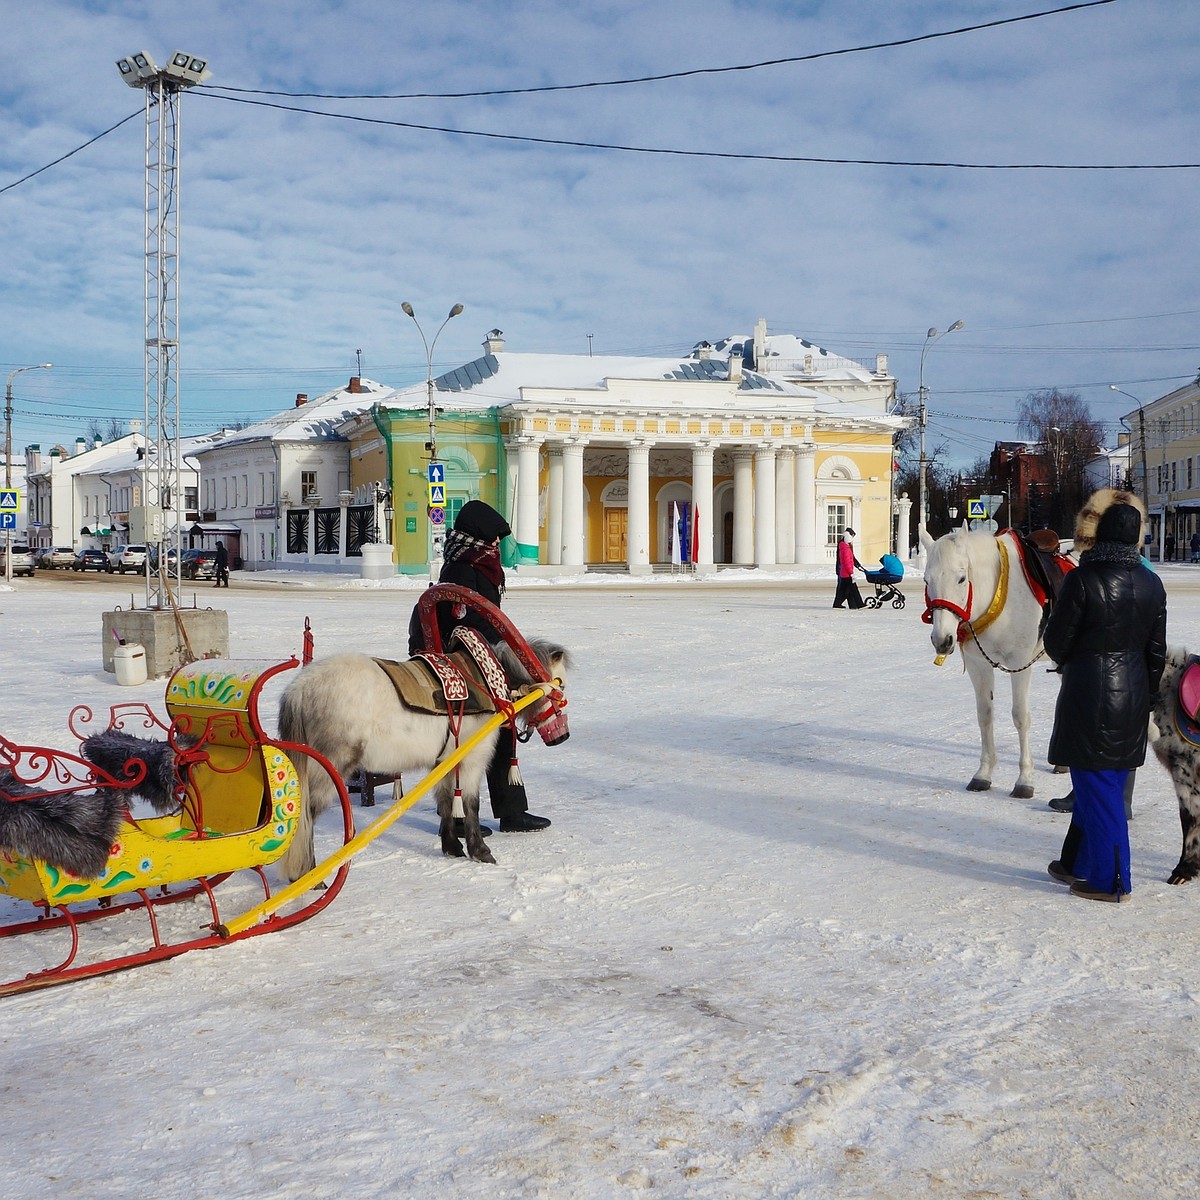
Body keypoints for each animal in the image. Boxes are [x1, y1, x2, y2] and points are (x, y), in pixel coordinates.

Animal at [278, 633, 568, 878]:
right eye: (561, 685)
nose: (562, 737)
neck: (486, 681)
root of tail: (298, 689)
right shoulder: (472, 759)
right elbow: (471, 804)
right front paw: (480, 851)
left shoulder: (444, 761)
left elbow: (446, 801)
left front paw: (452, 847)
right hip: (328, 768)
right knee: (304, 818)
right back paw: (309, 877)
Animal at [921, 530, 1046, 801]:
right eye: (926, 580)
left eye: (961, 578)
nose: (942, 640)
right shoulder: (978, 664)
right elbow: (985, 715)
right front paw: (984, 773)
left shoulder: (1020, 662)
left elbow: (1020, 717)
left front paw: (1024, 778)